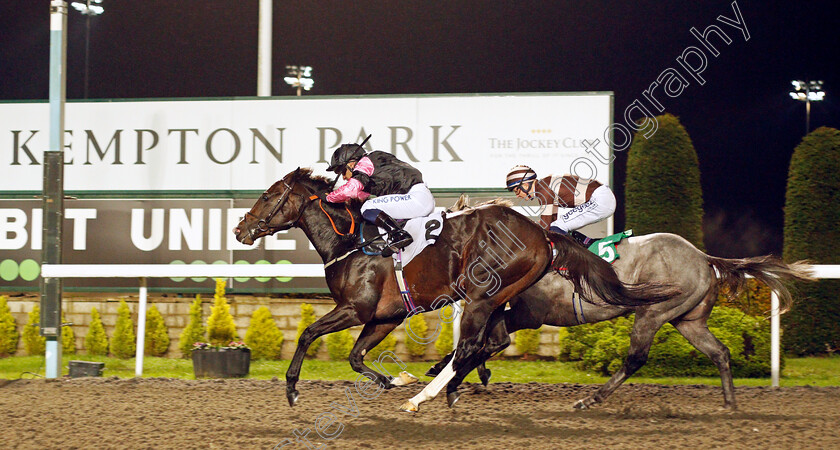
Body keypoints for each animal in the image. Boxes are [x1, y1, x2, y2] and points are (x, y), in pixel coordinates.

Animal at [233, 170, 680, 408]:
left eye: (269, 196)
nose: (240, 229)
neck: (352, 241)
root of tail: (541, 233)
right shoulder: (384, 316)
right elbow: (356, 358)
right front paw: (394, 380)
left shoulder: (355, 309)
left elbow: (307, 334)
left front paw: (292, 389)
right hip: (498, 296)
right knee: (484, 343)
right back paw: (442, 388)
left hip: (482, 294)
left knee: (470, 345)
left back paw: (431, 396)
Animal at [420, 232, 812, 412]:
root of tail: (703, 258)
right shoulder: (514, 310)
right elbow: (487, 340)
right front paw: (455, 374)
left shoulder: (530, 312)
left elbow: (488, 340)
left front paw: (451, 377)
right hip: (688, 320)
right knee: (720, 352)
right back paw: (729, 402)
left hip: (653, 313)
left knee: (635, 359)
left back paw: (590, 399)